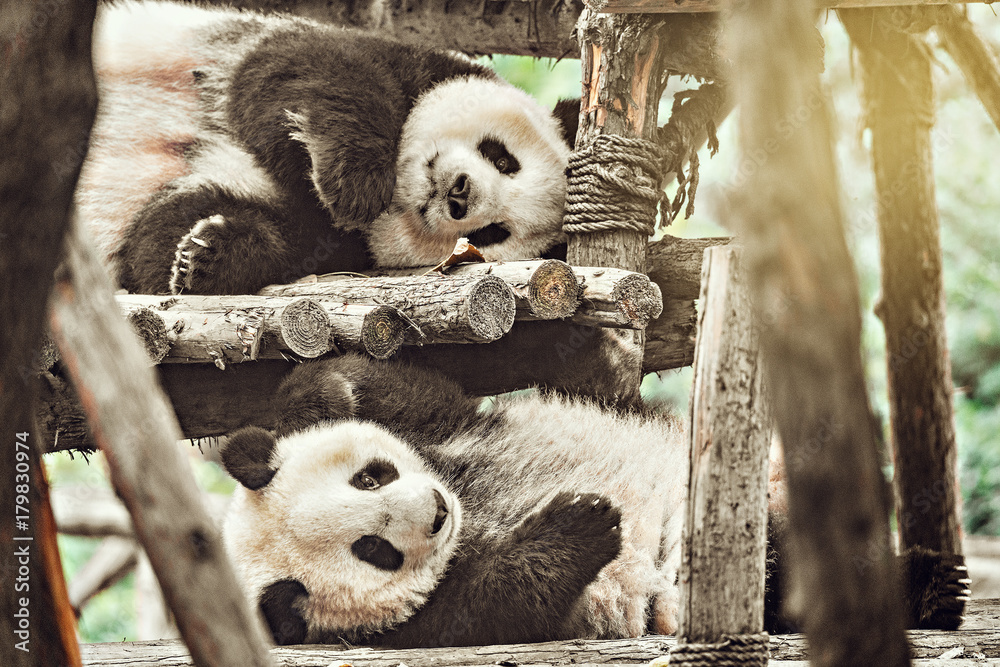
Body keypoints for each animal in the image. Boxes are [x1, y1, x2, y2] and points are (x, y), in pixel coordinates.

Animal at [79, 1, 577, 295]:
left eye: (491, 233)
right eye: (503, 159)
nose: (460, 194)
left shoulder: (339, 246)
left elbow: (154, 244)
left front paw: (205, 255)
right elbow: (301, 68)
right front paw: (355, 185)